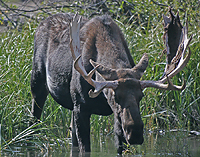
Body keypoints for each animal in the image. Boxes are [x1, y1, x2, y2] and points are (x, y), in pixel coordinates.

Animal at [30, 7, 192, 155]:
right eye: (115, 97)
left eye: (141, 96)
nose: (135, 134)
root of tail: (42, 23)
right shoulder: (81, 107)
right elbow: (85, 149)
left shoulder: (114, 116)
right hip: (37, 82)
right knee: (34, 119)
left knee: (72, 136)